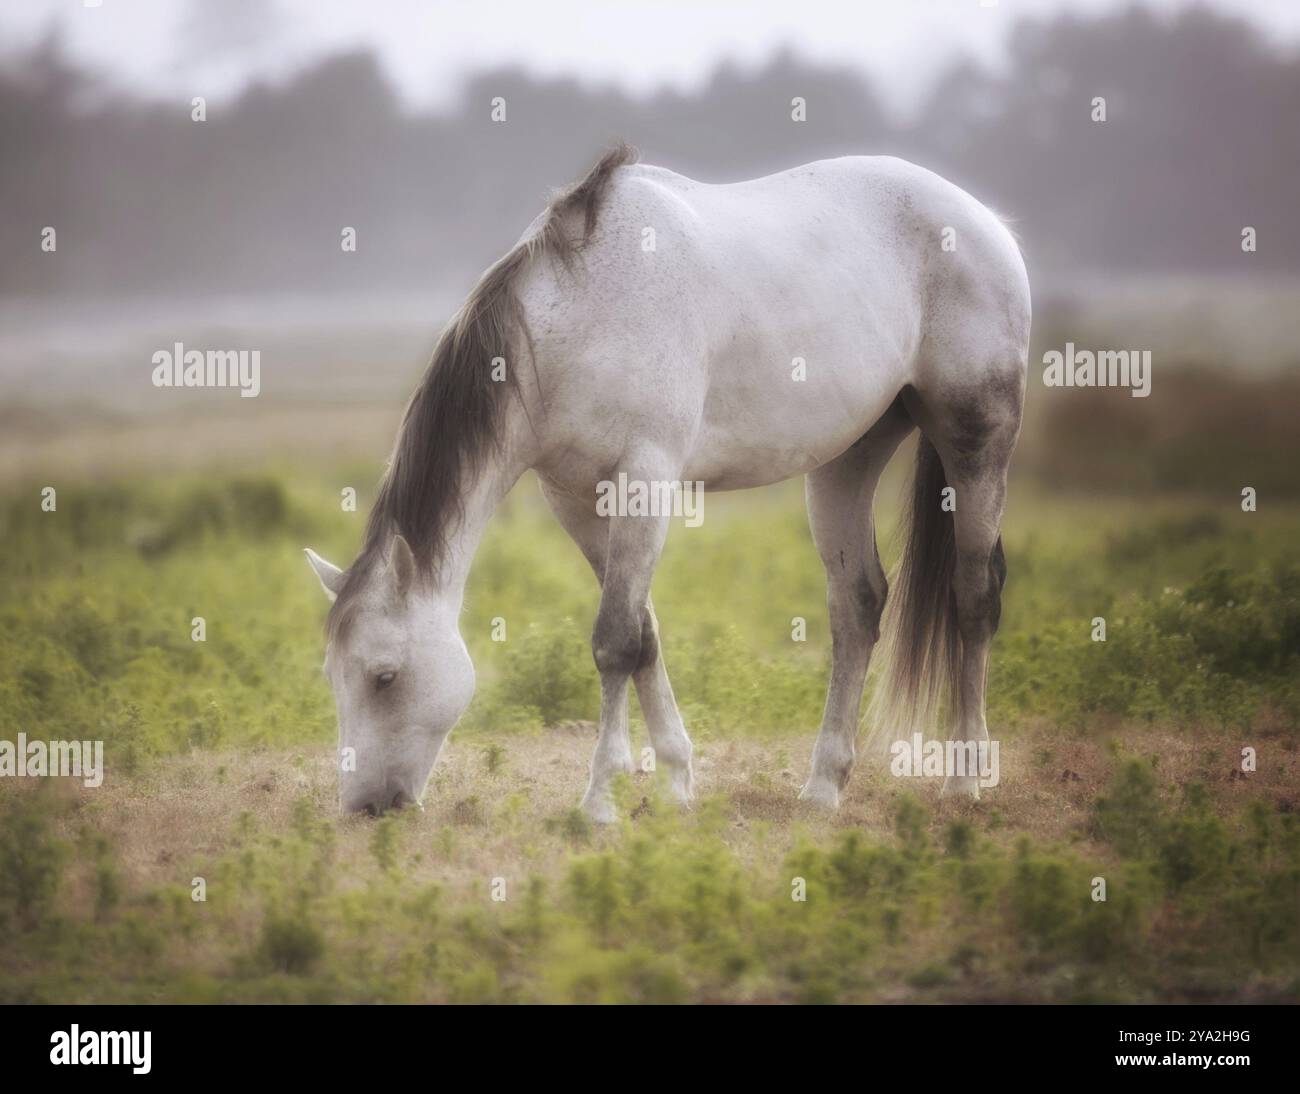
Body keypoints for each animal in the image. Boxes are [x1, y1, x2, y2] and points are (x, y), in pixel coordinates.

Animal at [304, 140, 1024, 815]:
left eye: (385, 677)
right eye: (333, 675)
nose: (366, 806)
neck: (576, 319)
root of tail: (985, 221)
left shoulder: (644, 483)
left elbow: (616, 641)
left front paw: (599, 798)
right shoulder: (575, 500)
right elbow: (644, 636)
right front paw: (677, 785)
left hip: (977, 440)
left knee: (972, 598)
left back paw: (965, 779)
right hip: (847, 460)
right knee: (857, 606)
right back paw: (823, 786)